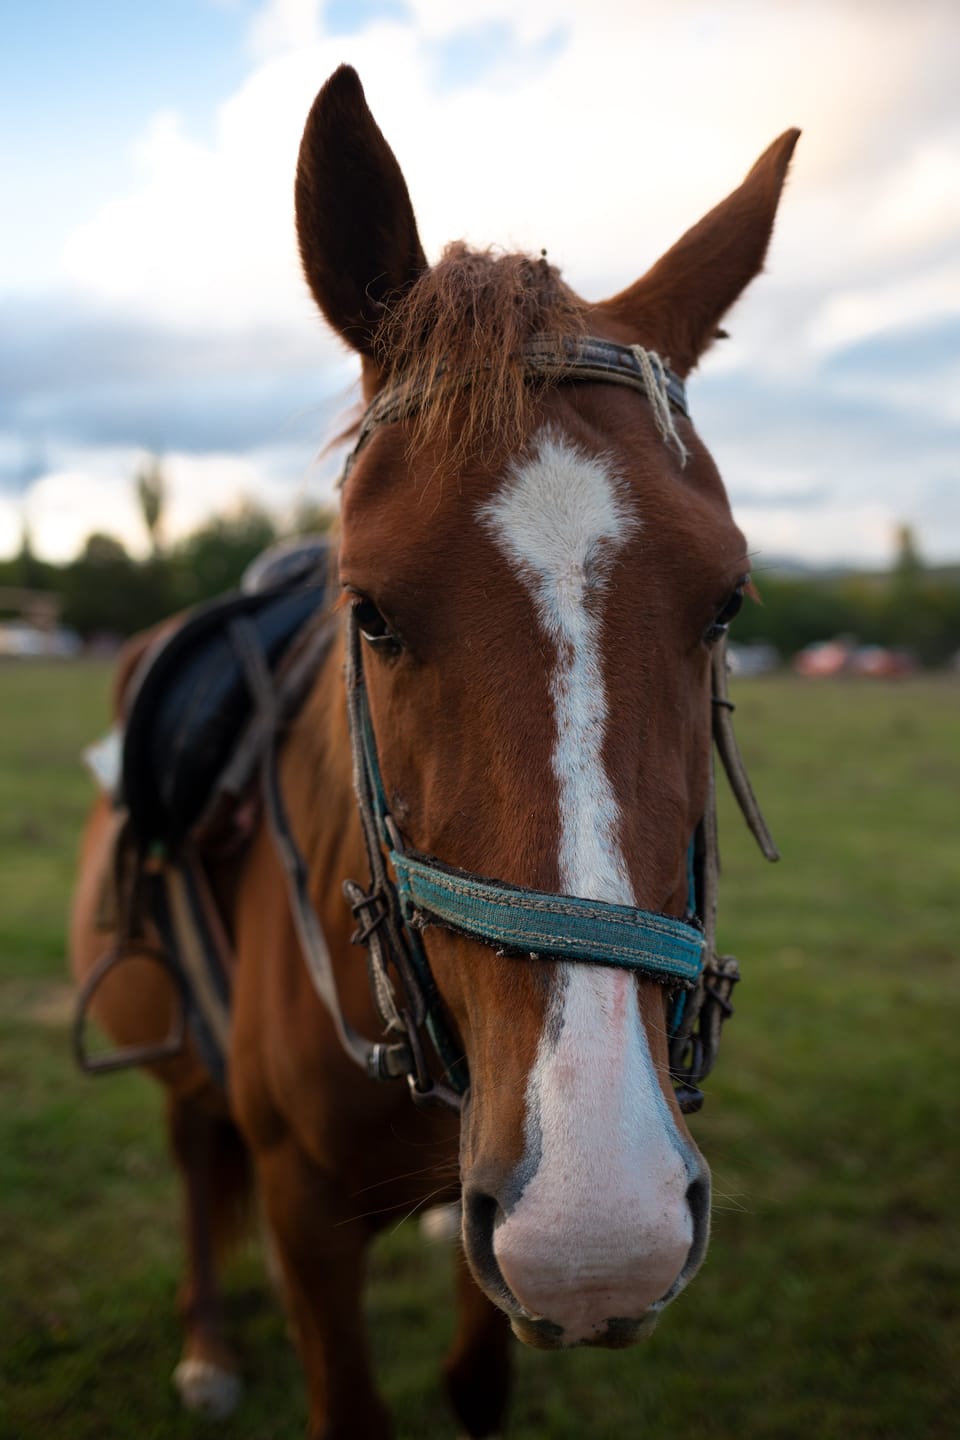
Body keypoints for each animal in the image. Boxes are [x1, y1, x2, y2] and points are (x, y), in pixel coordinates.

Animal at [69, 64, 797, 1439]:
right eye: (369, 611)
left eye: (728, 601)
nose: (598, 1229)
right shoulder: (305, 1218)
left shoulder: (491, 1211)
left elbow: (473, 1380)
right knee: (194, 1162)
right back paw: (206, 1347)